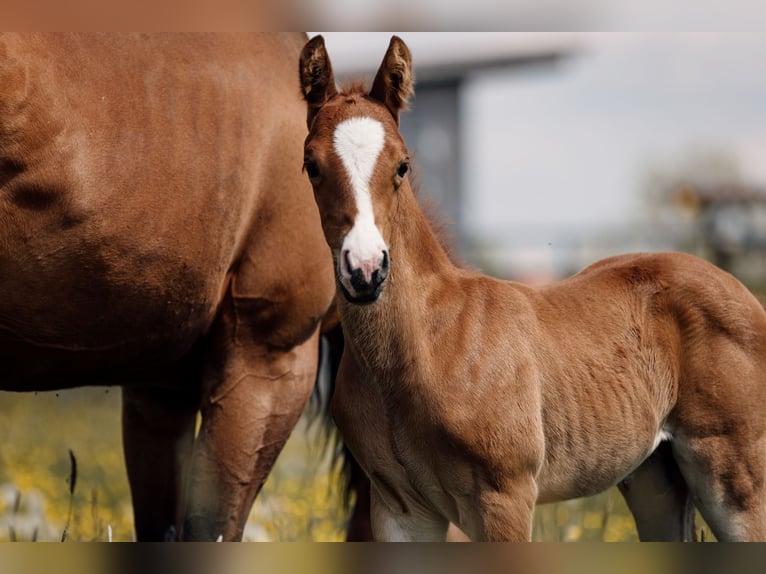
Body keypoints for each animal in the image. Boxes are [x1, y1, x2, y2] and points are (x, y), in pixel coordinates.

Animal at [298, 34, 766, 542]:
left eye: (403, 166)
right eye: (311, 166)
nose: (365, 270)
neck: (426, 347)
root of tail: (742, 291)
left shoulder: (504, 498)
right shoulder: (397, 510)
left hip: (736, 481)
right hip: (655, 478)